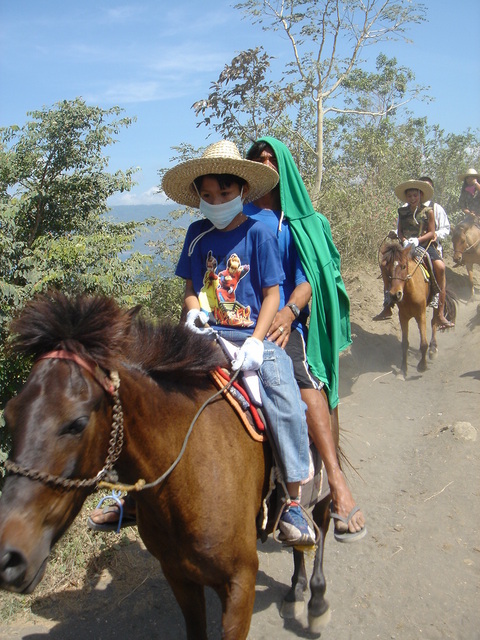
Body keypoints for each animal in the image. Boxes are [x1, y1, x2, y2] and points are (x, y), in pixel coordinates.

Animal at [0, 292, 332, 636]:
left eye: (77, 423)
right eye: (9, 414)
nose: (8, 558)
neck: (185, 475)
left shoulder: (241, 582)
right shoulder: (178, 576)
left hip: (323, 486)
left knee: (321, 525)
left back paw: (315, 594)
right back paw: (295, 588)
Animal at [376, 242, 456, 378]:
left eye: (403, 266)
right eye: (385, 268)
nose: (395, 295)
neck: (409, 292)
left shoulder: (421, 314)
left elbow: (423, 343)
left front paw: (422, 366)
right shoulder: (403, 316)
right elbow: (404, 343)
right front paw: (403, 370)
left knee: (435, 321)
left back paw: (433, 348)